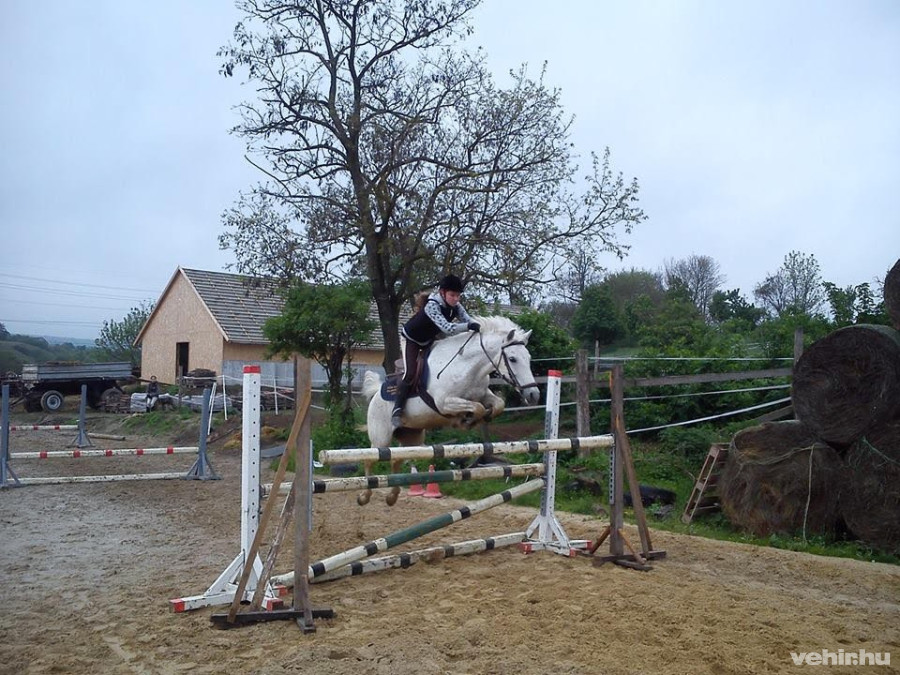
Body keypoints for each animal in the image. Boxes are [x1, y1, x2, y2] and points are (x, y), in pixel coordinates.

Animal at [360, 315, 540, 505]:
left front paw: (475, 418)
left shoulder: (483, 395)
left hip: (412, 438)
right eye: (512, 359)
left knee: (396, 460)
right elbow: (477, 407)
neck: (468, 368)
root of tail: (377, 392)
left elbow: (497, 404)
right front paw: (466, 420)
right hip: (381, 437)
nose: (533, 394)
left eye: (528, 358)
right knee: (370, 459)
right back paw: (364, 496)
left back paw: (392, 496)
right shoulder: (444, 403)